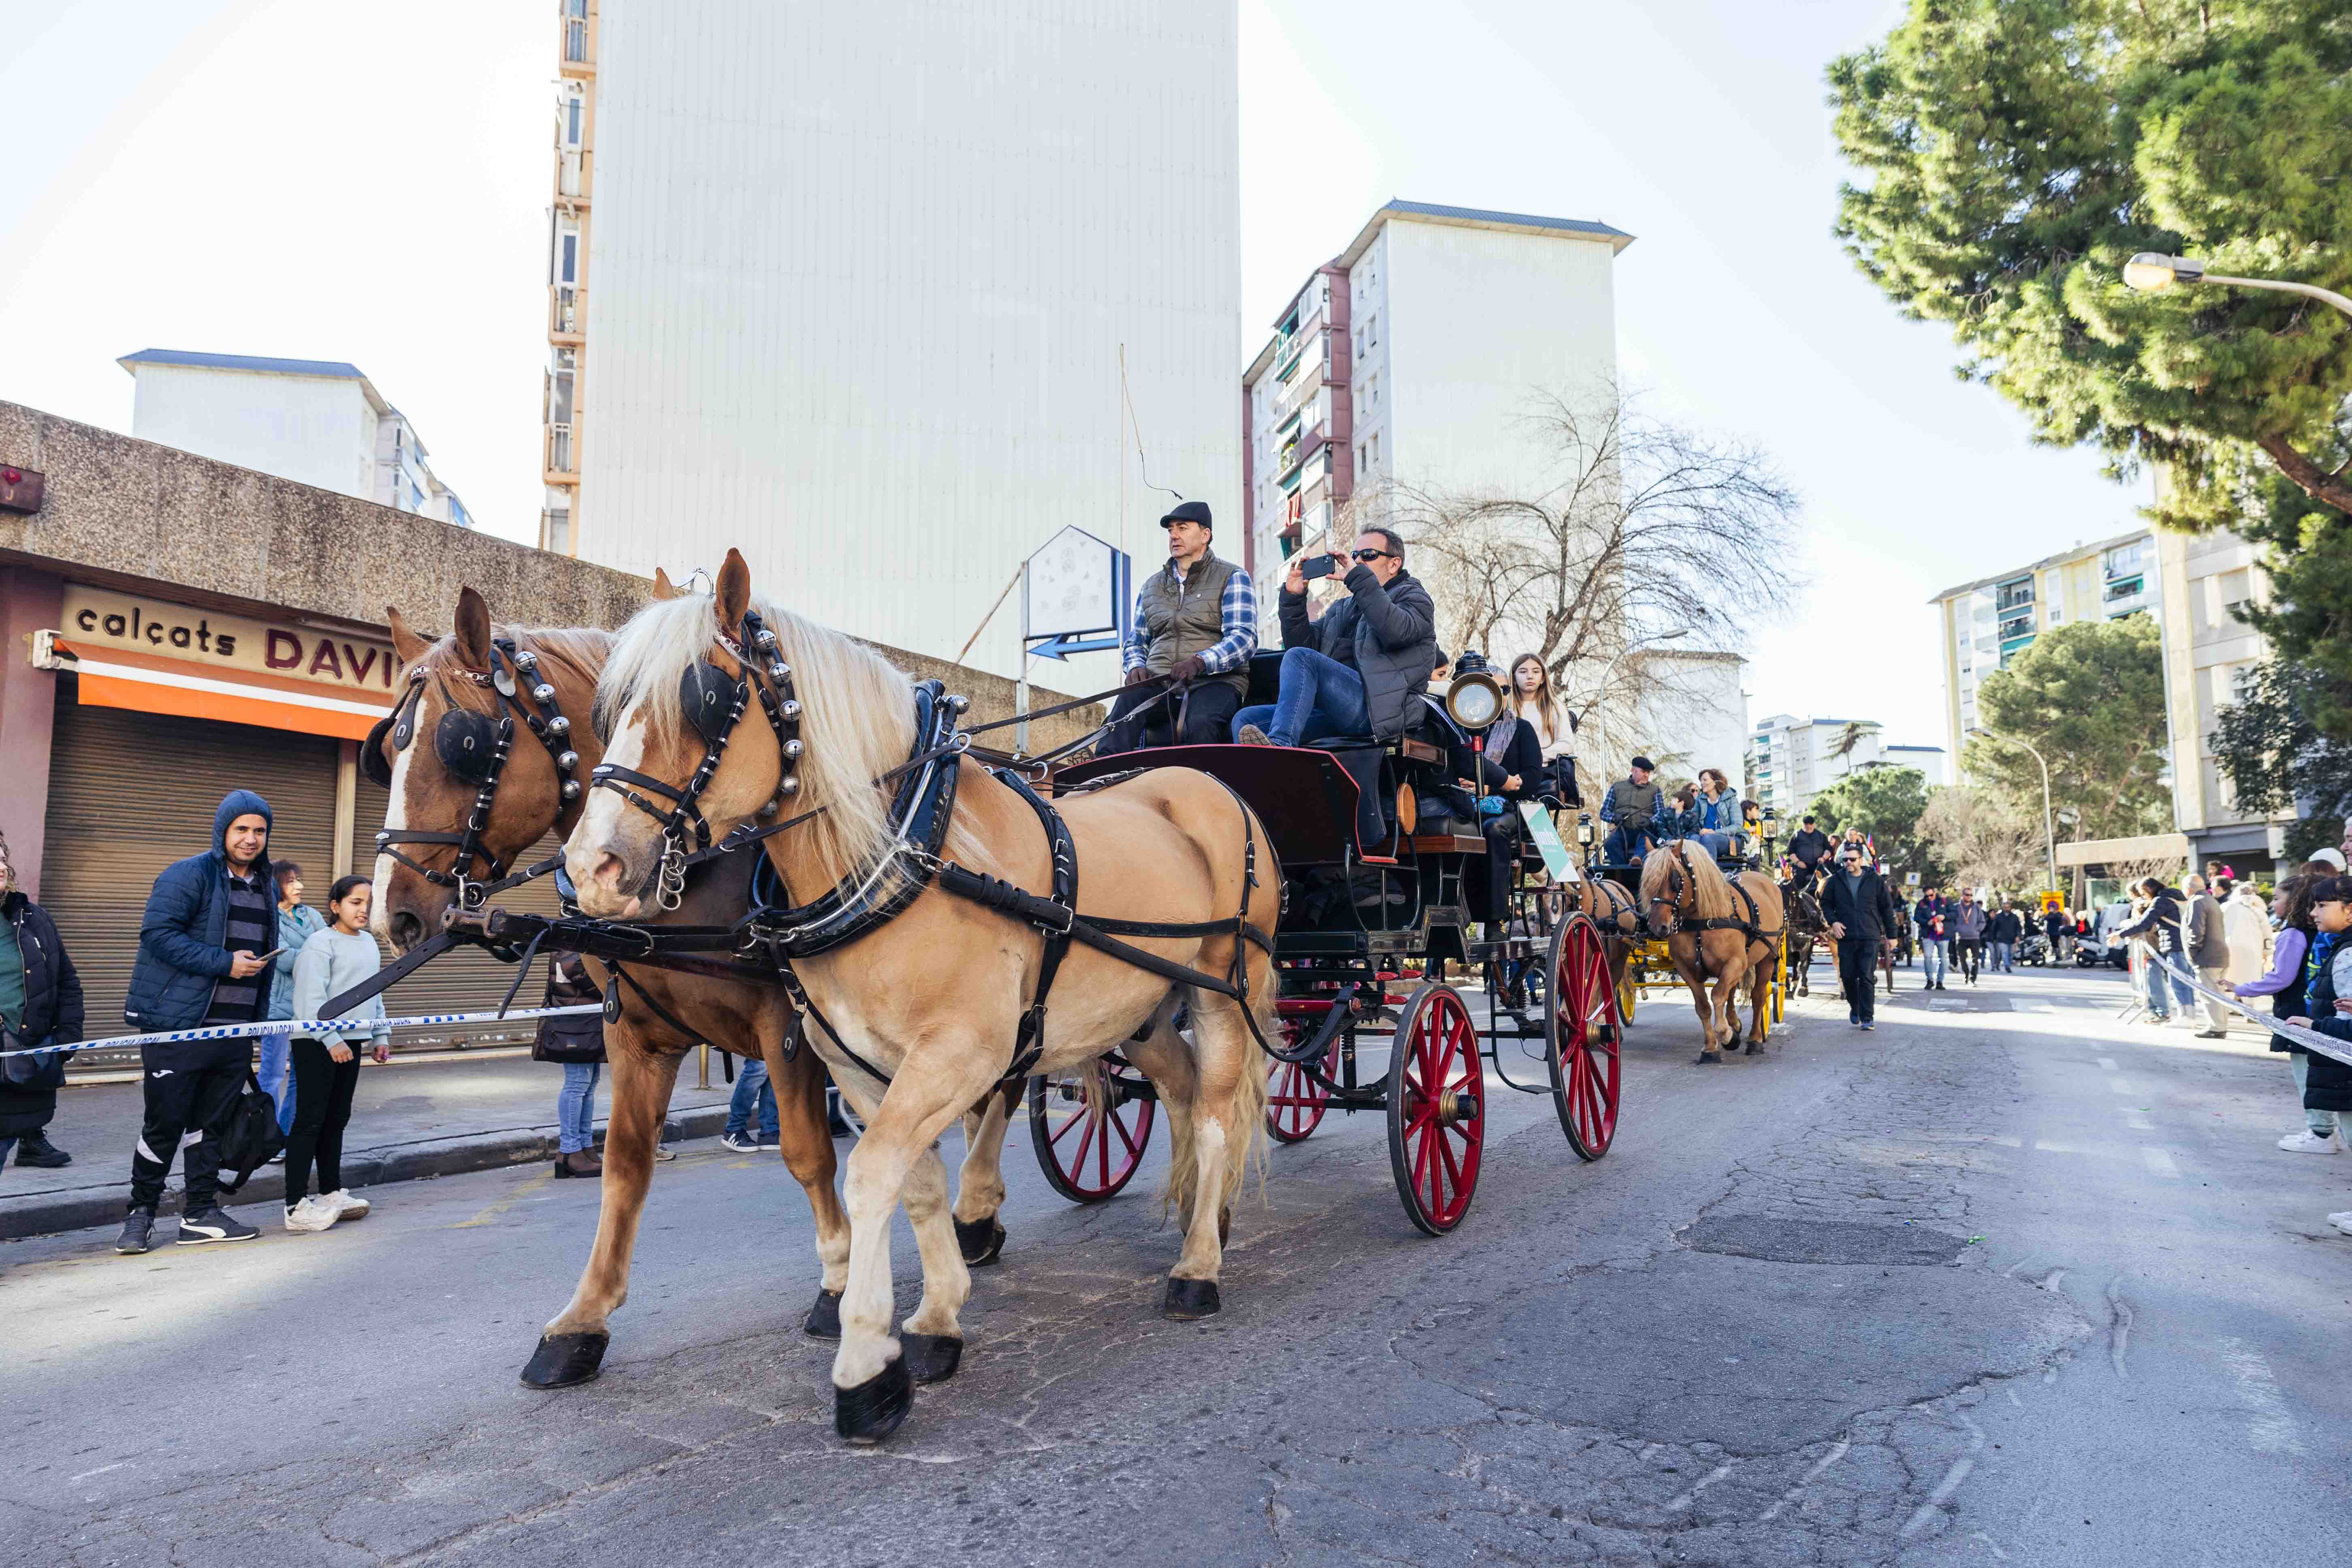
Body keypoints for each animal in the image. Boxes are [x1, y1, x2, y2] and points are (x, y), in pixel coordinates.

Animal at [367, 585, 1021, 1382]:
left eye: (461, 743)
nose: (393, 912)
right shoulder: (633, 1034)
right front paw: (582, 1318)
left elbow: (808, 1153)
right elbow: (625, 1163)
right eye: (388, 749)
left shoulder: (787, 1028)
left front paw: (836, 1284)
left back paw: (976, 1209)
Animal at [562, 552, 1279, 1448]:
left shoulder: (960, 1052)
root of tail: (1207, 780)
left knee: (1218, 1116)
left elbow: (870, 1175)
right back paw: (1194, 1215)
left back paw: (1198, 1266)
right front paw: (936, 1319)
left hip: (1226, 991)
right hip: (1142, 1010)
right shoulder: (861, 1065)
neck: (904, 848)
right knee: (1180, 1091)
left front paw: (866, 1363)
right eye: (607, 705)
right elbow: (915, 1184)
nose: (592, 867)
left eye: (705, 698)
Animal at [1637, 846, 1778, 1067]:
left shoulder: (1736, 963)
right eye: (1648, 881)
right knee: (1732, 991)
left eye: (1675, 880)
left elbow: (1718, 995)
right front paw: (1711, 1049)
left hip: (1768, 958)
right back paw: (1735, 1023)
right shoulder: (1687, 970)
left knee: (1758, 996)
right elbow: (1704, 1005)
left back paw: (1755, 1041)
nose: (1656, 926)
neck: (1702, 921)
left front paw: (1728, 1037)